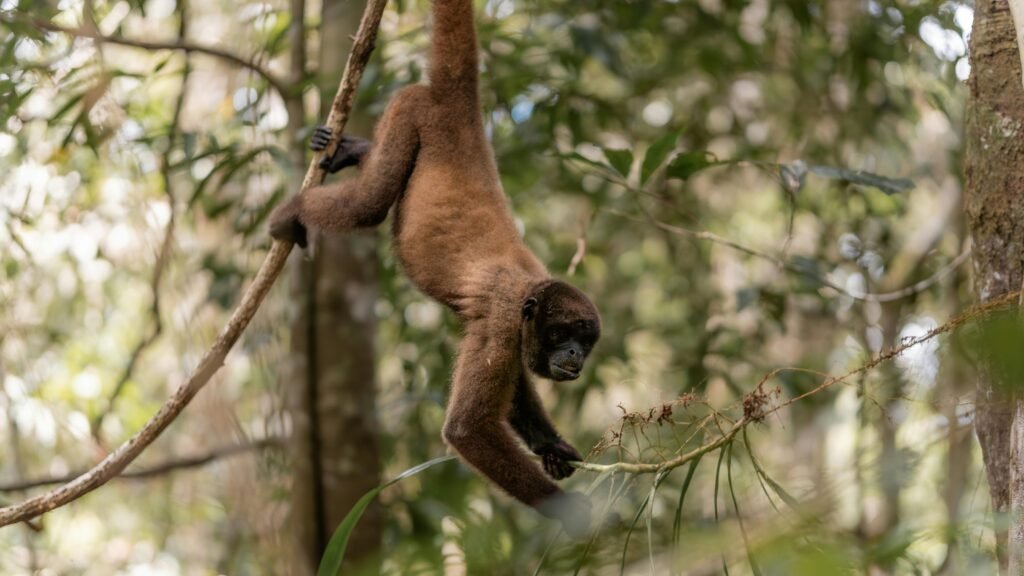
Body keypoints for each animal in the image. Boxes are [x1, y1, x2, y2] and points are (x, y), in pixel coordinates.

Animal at [269, 0, 600, 537]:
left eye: (585, 341)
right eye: (561, 334)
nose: (574, 354)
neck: (533, 288)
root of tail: (458, 102)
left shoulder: (516, 330)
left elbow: (515, 391)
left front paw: (551, 446)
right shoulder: (504, 319)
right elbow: (467, 430)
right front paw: (567, 509)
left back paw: (353, 149)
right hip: (412, 109)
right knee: (369, 202)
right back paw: (292, 211)